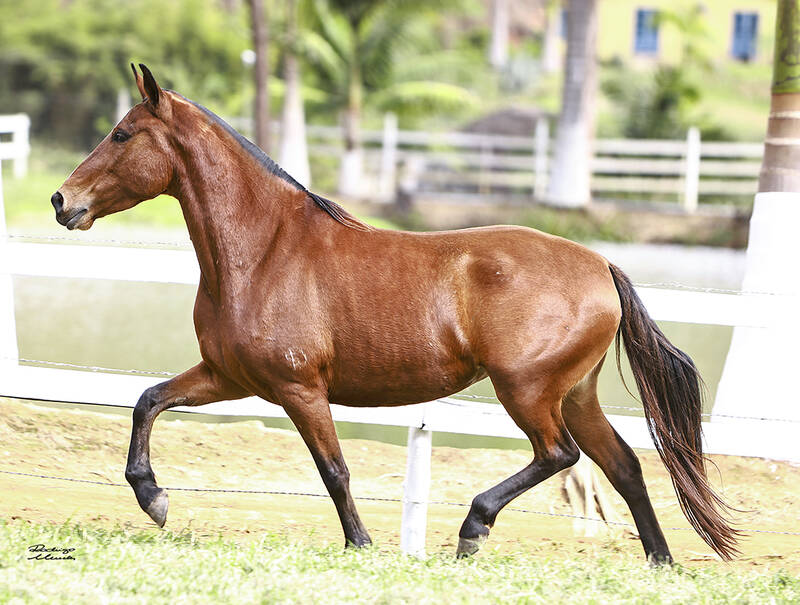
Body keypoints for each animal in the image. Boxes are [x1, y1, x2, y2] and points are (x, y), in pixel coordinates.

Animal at [51, 62, 736, 560]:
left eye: (121, 134)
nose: (62, 200)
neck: (263, 251)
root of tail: (601, 266)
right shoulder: (228, 376)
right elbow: (147, 401)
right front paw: (153, 498)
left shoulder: (299, 389)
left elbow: (333, 468)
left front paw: (361, 543)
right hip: (574, 394)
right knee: (624, 465)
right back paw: (659, 560)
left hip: (527, 390)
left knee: (559, 456)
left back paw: (472, 529)